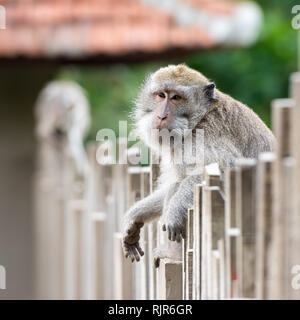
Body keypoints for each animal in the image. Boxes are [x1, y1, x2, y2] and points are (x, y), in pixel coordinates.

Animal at [121, 63, 274, 266]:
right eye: (161, 95)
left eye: (176, 98)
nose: (161, 116)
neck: (198, 120)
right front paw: (135, 216)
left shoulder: (207, 135)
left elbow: (225, 168)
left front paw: (175, 210)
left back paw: (173, 254)